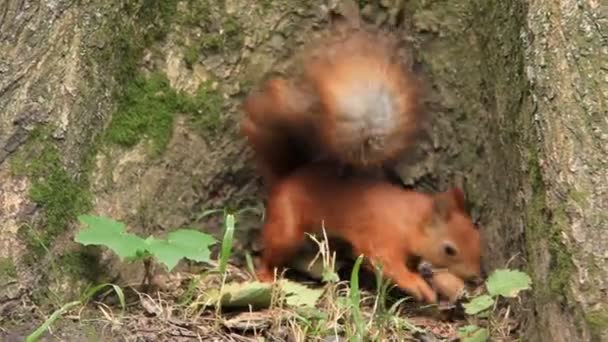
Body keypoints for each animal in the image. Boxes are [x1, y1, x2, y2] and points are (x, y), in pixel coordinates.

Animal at [255, 162, 480, 304]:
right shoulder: (382, 237)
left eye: (477, 237)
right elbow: (389, 265)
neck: (407, 220)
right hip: (286, 229)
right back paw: (265, 276)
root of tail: (282, 183)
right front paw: (417, 285)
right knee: (270, 253)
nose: (476, 277)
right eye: (449, 250)